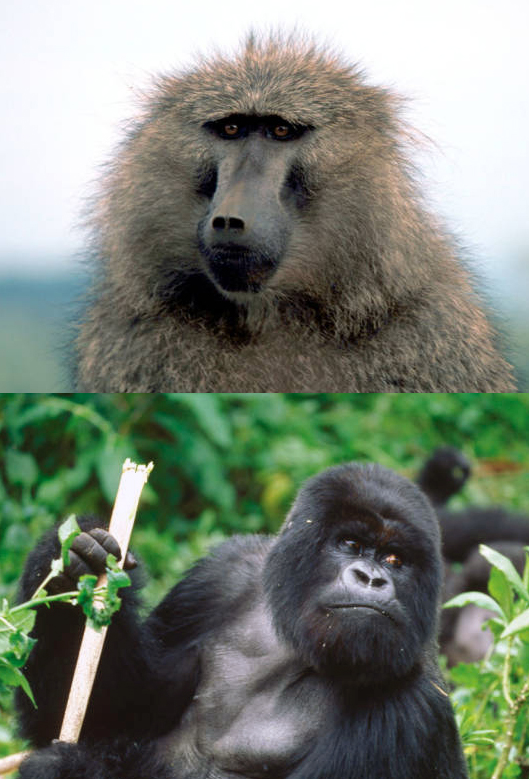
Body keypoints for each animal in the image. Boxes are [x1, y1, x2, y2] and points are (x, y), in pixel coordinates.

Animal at [74, 33, 516, 391]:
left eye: (281, 131)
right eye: (231, 129)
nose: (230, 219)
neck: (268, 316)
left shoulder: (428, 329)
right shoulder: (137, 336)